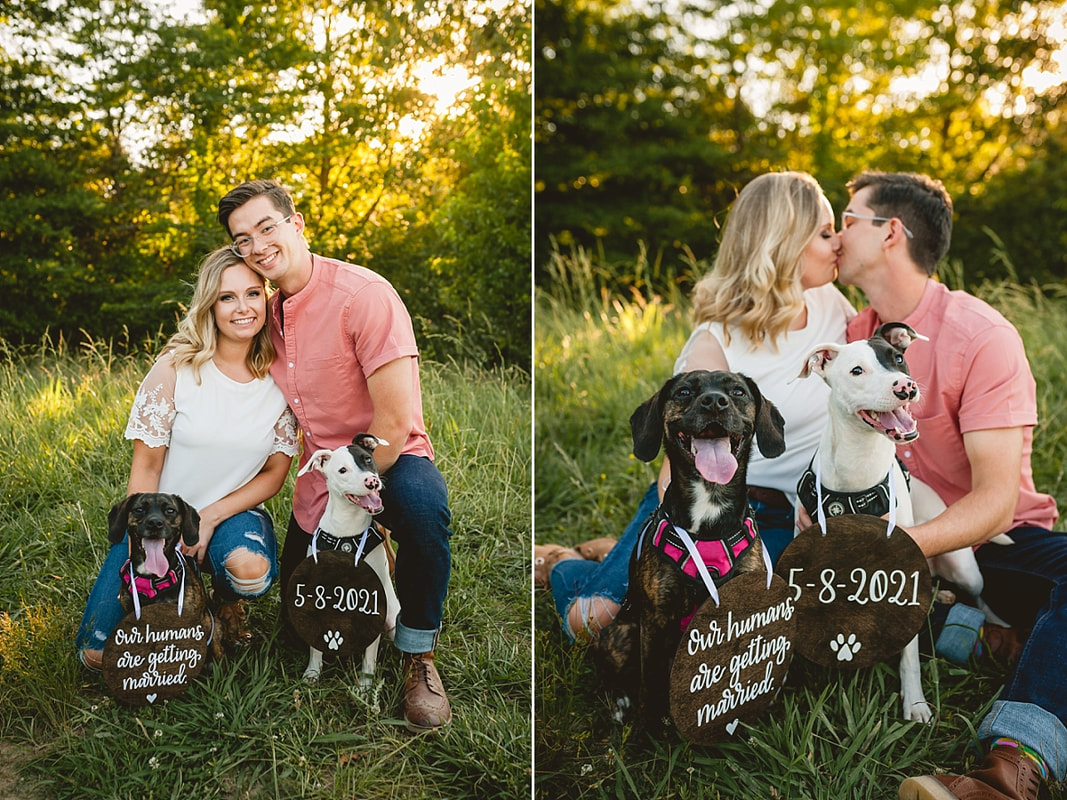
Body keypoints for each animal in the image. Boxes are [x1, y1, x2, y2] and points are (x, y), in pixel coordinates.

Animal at [296, 435, 401, 686]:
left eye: (367, 459)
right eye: (342, 470)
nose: (372, 481)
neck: (346, 532)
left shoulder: (374, 604)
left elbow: (369, 658)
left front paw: (365, 686)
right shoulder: (316, 601)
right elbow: (315, 648)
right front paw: (312, 673)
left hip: (393, 620)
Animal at [597, 369, 789, 733]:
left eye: (738, 392)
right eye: (685, 392)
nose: (714, 401)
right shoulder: (655, 620)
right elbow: (649, 682)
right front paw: (646, 731)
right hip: (620, 633)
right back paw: (619, 702)